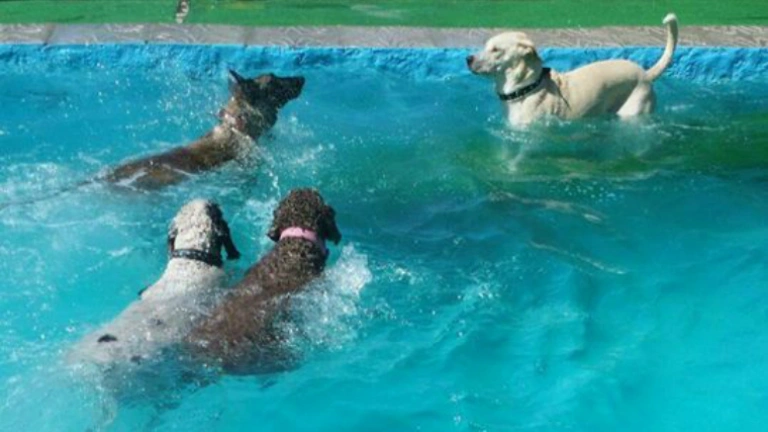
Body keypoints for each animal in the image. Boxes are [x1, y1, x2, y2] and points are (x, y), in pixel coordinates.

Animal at [467, 13, 678, 126]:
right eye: (485, 46)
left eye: (496, 50)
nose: (468, 59)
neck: (527, 88)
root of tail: (646, 74)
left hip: (634, 109)